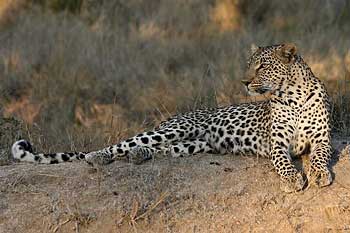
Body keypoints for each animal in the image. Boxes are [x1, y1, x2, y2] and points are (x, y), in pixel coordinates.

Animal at [10, 42, 332, 192]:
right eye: (248, 64)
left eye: (262, 66)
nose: (243, 82)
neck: (293, 96)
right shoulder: (277, 144)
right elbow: (283, 162)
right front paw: (293, 178)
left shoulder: (322, 139)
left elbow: (319, 156)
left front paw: (319, 173)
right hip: (173, 129)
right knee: (122, 144)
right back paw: (99, 156)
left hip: (193, 143)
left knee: (156, 149)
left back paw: (138, 156)